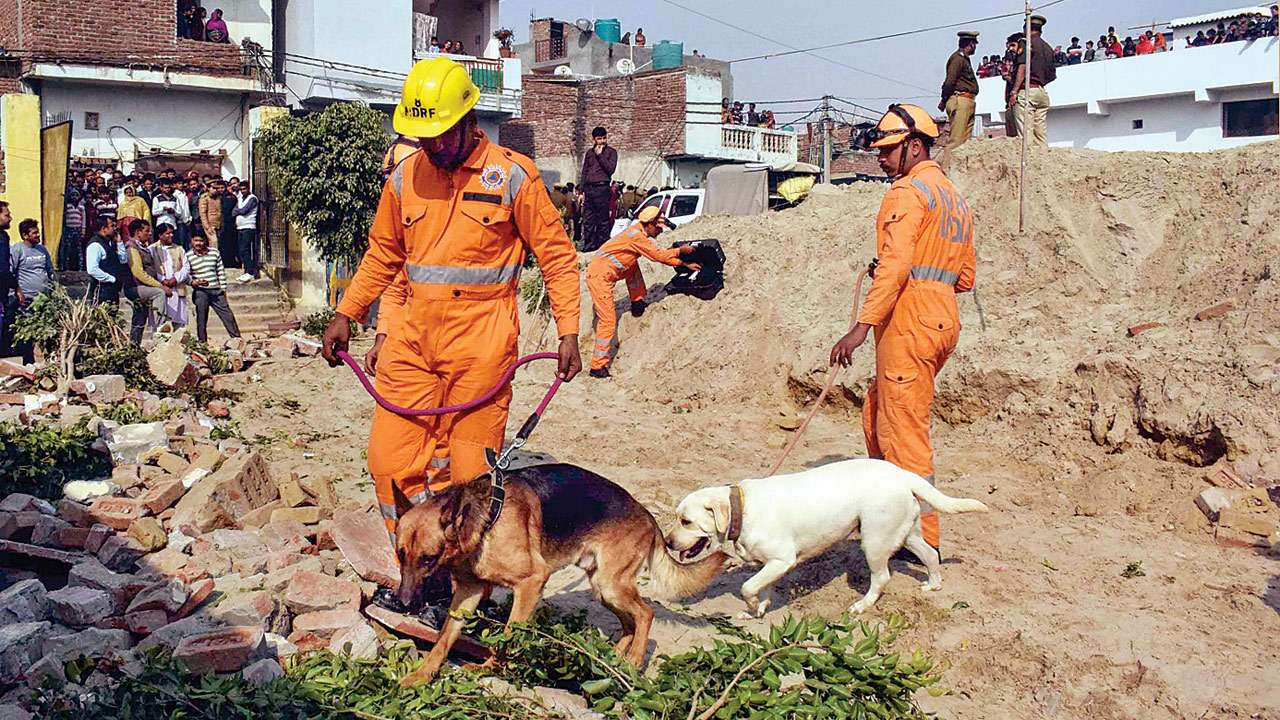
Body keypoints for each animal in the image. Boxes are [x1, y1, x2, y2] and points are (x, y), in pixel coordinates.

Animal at [394, 461, 727, 681]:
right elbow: (444, 639)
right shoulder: (467, 591)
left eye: (428, 559)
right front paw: (420, 677)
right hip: (603, 589)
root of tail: (647, 514)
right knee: (629, 622)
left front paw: (491, 669)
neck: (486, 521)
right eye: (400, 555)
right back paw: (613, 658)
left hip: (612, 585)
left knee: (645, 613)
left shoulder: (530, 583)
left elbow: (509, 636)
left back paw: (633, 659)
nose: (404, 603)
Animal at [670, 456, 988, 614]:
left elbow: (747, 587)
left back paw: (862, 606)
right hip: (905, 533)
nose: (669, 543)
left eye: (686, 521)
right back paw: (933, 585)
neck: (743, 508)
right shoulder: (770, 565)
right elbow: (762, 588)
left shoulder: (782, 560)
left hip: (874, 540)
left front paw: (751, 605)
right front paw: (759, 609)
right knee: (930, 555)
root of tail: (902, 474)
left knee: (882, 578)